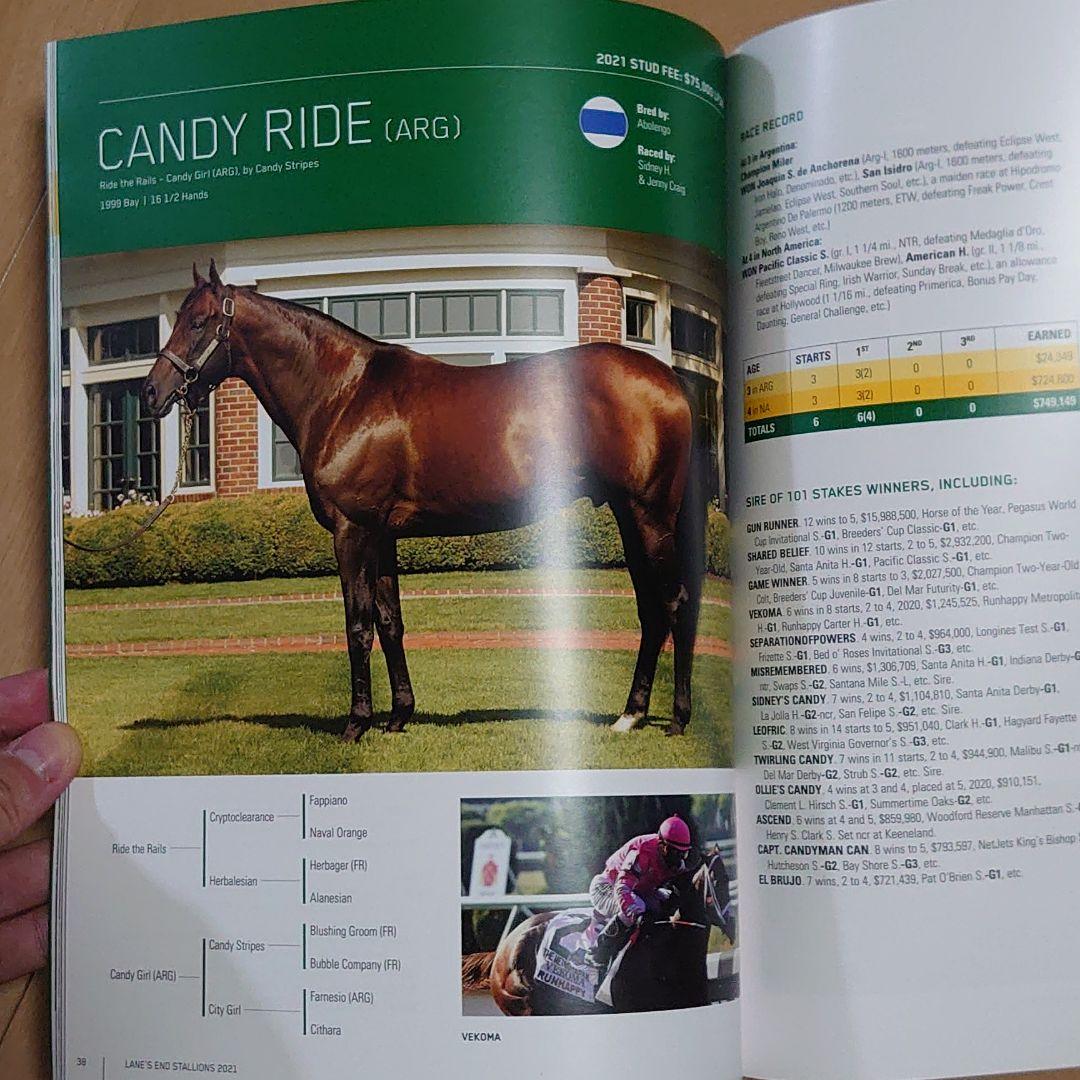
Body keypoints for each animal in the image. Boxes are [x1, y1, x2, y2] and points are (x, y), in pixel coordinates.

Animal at [142, 261, 705, 740]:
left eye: (199, 321)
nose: (151, 391)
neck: (344, 393)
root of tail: (670, 381)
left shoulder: (352, 531)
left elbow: (357, 624)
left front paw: (356, 724)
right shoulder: (382, 535)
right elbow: (390, 621)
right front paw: (398, 717)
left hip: (651, 516)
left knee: (674, 603)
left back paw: (678, 719)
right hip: (628, 517)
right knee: (651, 610)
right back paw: (630, 715)